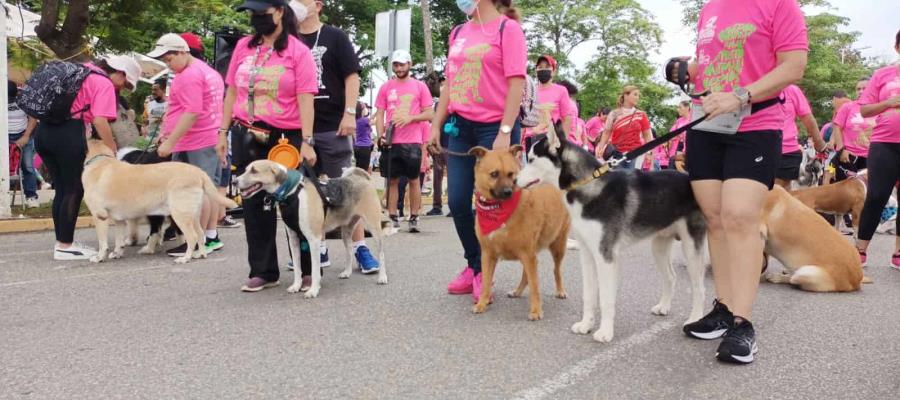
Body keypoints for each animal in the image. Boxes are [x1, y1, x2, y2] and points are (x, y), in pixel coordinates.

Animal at [81, 139, 237, 264]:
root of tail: (198, 172)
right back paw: (201, 254)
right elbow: (119, 240)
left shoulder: (99, 217)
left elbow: (103, 243)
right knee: (199, 234)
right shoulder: (119, 221)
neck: (100, 161)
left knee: (192, 237)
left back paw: (185, 258)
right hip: (192, 215)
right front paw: (117, 253)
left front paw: (99, 257)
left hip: (180, 215)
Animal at [472, 145, 568, 320]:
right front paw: (482, 303)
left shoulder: (528, 254)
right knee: (526, 275)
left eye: (511, 174)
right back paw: (517, 291)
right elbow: (486, 282)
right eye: (494, 174)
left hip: (558, 247)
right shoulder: (488, 254)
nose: (508, 191)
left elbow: (535, 287)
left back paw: (560, 290)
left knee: (556, 270)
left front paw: (536, 310)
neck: (498, 210)